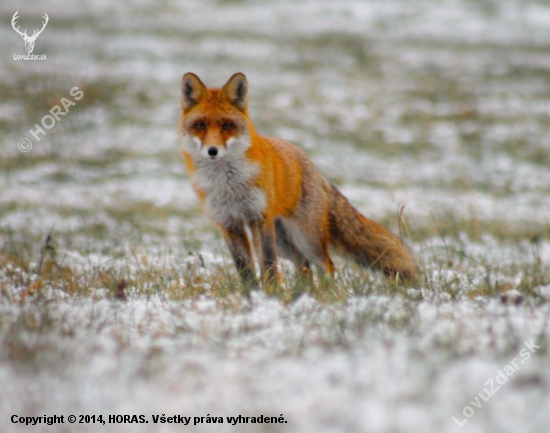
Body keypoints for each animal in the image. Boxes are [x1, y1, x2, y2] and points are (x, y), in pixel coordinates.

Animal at [179, 71, 420, 286]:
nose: (212, 151)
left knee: (326, 265)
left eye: (227, 126)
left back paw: (325, 296)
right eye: (200, 125)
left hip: (305, 236)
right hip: (285, 242)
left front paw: (271, 294)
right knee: (303, 266)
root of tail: (313, 167)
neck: (227, 184)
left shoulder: (259, 217)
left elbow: (269, 265)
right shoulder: (228, 223)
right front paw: (252, 296)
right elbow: (245, 270)